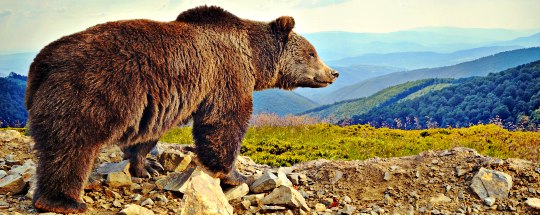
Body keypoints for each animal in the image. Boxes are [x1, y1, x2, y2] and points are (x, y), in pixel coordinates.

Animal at [26, 5, 338, 213]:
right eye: (312, 52)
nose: (333, 72)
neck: (253, 57)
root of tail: (41, 63)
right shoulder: (226, 74)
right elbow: (224, 122)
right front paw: (236, 175)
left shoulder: (160, 100)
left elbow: (149, 132)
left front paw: (146, 165)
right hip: (90, 90)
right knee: (71, 145)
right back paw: (63, 200)